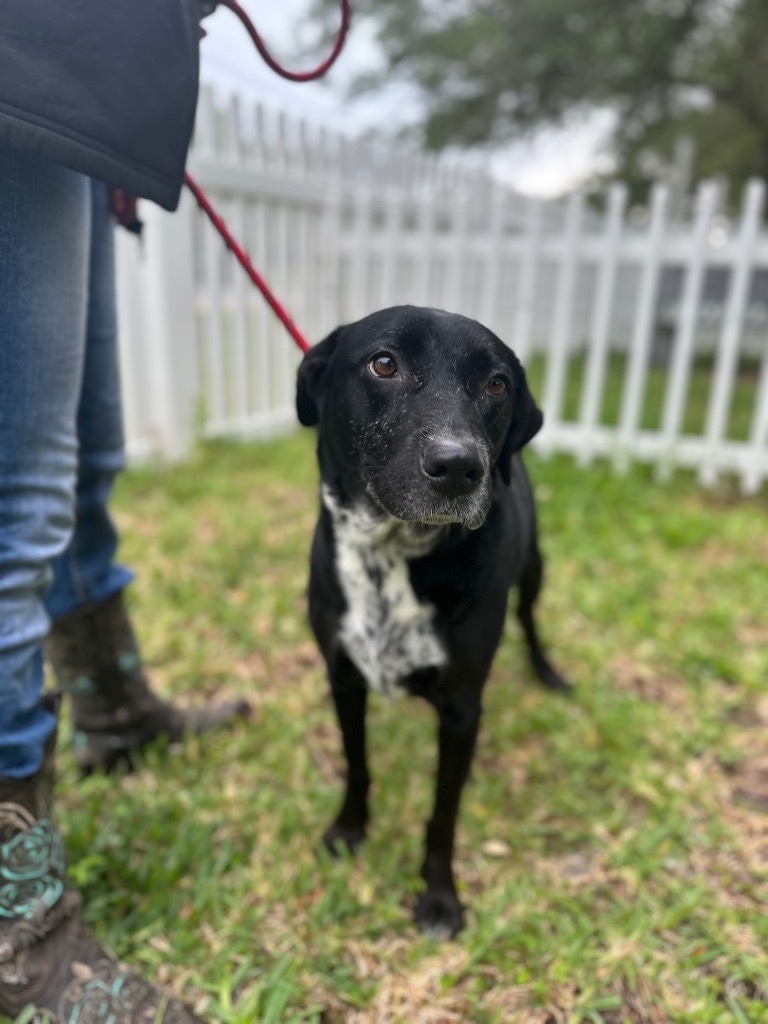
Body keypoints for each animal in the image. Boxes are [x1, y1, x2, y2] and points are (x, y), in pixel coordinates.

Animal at [296, 301, 569, 937]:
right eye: (384, 363)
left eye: (497, 383)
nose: (460, 466)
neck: (393, 554)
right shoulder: (343, 678)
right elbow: (357, 764)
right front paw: (349, 830)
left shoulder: (463, 710)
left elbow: (445, 812)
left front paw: (441, 896)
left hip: (535, 571)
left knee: (532, 620)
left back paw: (548, 672)